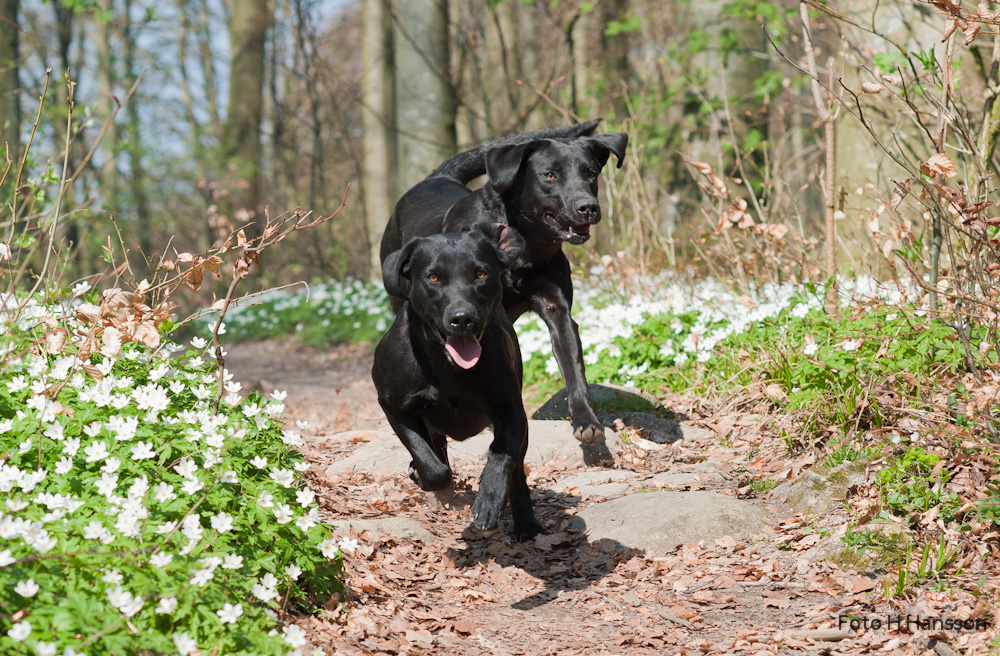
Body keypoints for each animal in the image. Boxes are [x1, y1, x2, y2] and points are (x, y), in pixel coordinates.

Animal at [370, 223, 544, 540]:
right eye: (433, 277)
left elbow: (502, 456)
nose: (462, 318)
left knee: (517, 472)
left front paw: (489, 500)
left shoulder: (511, 409)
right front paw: (423, 474)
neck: (446, 366)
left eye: (481, 274)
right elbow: (431, 464)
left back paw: (525, 522)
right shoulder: (393, 405)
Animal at [378, 121, 628, 446]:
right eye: (550, 175)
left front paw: (586, 419)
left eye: (591, 173)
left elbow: (574, 367)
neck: (525, 246)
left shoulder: (556, 308)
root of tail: (437, 177)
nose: (588, 207)